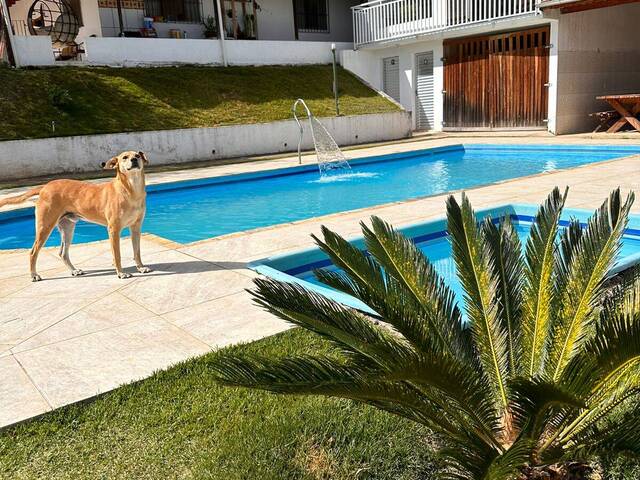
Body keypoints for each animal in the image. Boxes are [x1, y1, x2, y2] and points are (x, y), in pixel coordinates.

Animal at [0, 151, 152, 282]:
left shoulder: (136, 227)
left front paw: (141, 267)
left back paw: (74, 270)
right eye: (124, 157)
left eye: (137, 155)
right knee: (33, 252)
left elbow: (137, 251)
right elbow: (117, 255)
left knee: (62, 253)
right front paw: (121, 273)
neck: (131, 190)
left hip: (67, 229)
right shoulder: (113, 230)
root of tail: (44, 187)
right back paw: (34, 275)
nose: (134, 160)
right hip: (45, 227)